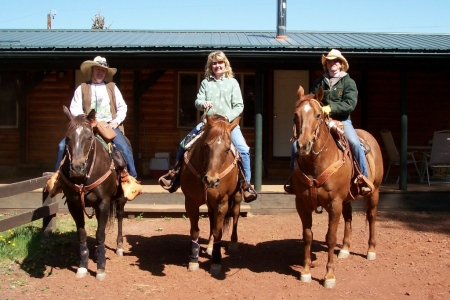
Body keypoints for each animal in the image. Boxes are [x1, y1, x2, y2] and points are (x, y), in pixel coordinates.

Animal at [58, 106, 126, 282]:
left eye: (89, 137)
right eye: (67, 137)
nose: (77, 168)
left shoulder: (103, 203)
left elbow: (100, 234)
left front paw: (101, 267)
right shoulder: (74, 204)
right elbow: (82, 233)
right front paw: (82, 266)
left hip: (121, 199)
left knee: (120, 216)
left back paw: (119, 247)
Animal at [180, 113, 243, 276]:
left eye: (227, 149)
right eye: (206, 146)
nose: (212, 180)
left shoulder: (222, 203)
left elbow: (218, 232)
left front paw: (216, 262)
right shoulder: (190, 202)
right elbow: (195, 230)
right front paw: (193, 260)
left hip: (237, 197)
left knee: (235, 214)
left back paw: (233, 243)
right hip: (210, 204)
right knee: (211, 220)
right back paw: (209, 247)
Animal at [292, 86, 384, 288]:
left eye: (318, 115)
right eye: (296, 115)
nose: (303, 145)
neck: (316, 163)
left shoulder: (334, 203)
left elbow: (330, 237)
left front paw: (329, 276)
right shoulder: (302, 203)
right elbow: (307, 235)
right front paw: (306, 271)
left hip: (374, 191)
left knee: (372, 217)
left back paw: (371, 250)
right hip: (347, 198)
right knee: (349, 217)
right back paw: (345, 249)